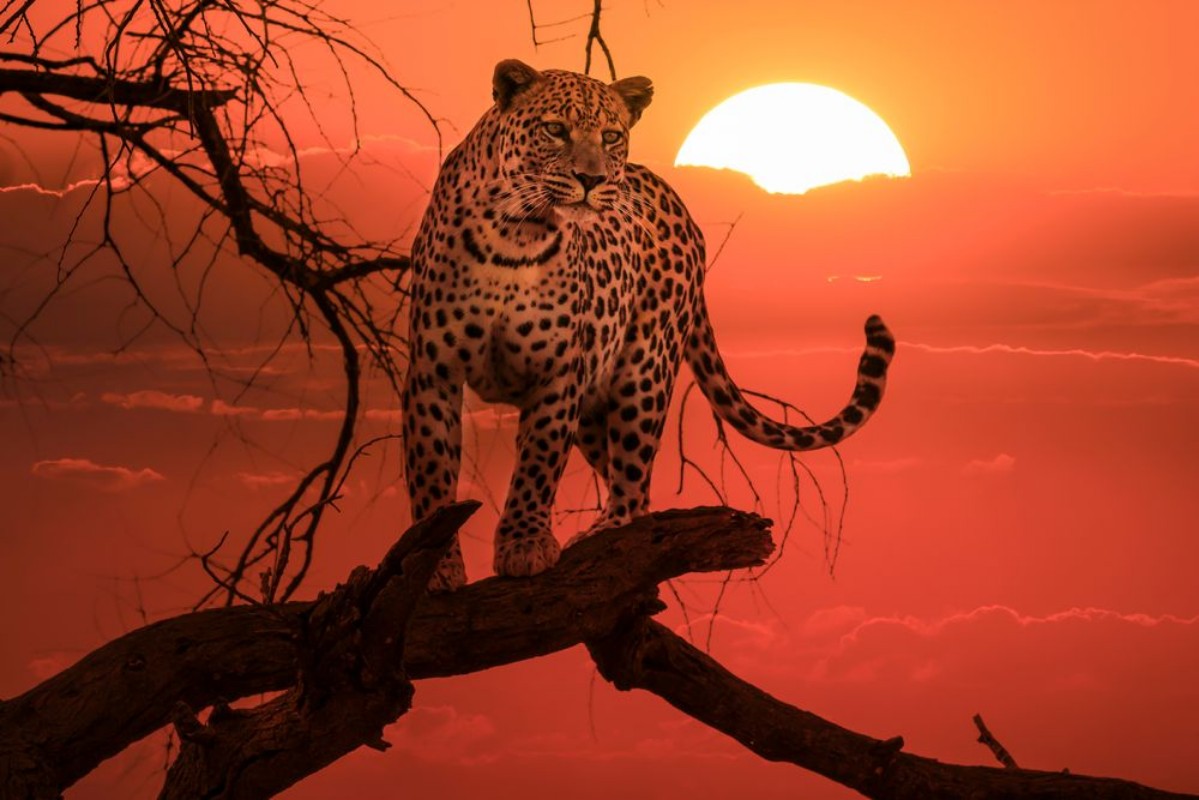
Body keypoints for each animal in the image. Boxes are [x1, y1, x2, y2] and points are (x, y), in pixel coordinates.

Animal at [403, 59, 895, 590]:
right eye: (554, 129)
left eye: (611, 135)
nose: (591, 178)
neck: (515, 235)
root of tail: (681, 206)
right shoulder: (433, 372)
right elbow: (432, 475)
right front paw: (437, 566)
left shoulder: (557, 376)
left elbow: (537, 465)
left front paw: (525, 543)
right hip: (595, 402)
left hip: (644, 369)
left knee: (634, 483)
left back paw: (605, 532)